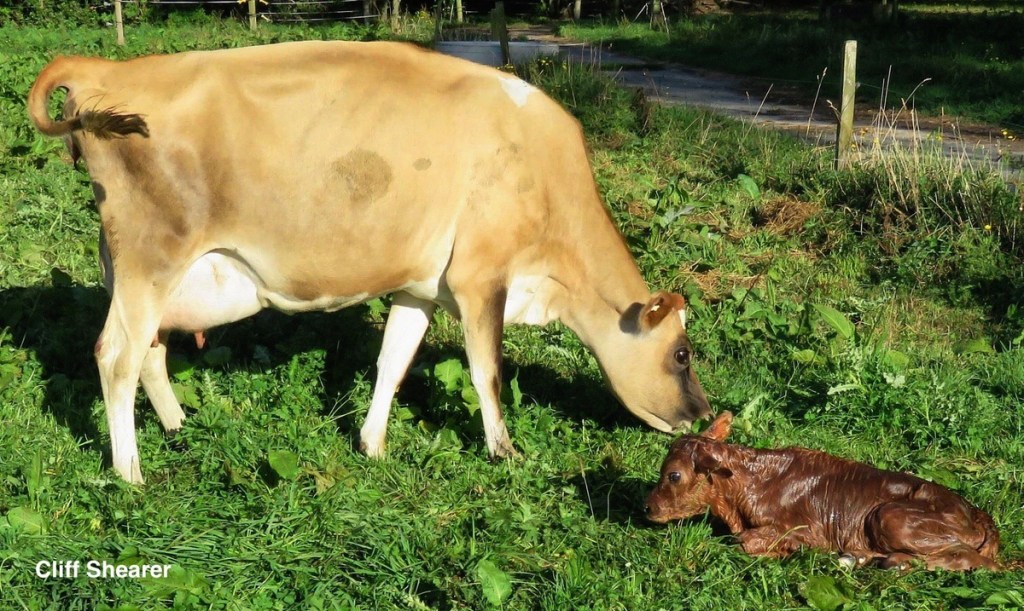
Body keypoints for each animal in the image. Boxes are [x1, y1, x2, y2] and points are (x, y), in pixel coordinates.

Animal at [28, 41, 712, 484]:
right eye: (681, 353)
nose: (705, 416)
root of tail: (103, 65)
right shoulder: (480, 277)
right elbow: (486, 371)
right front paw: (505, 452)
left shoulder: (421, 286)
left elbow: (393, 363)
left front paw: (373, 445)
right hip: (153, 255)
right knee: (115, 356)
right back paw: (130, 472)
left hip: (139, 269)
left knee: (148, 350)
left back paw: (177, 427)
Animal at [645, 412, 1001, 571]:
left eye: (673, 475)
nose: (647, 508)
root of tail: (977, 513)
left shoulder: (808, 528)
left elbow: (745, 541)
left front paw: (787, 550)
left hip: (892, 517)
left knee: (973, 559)